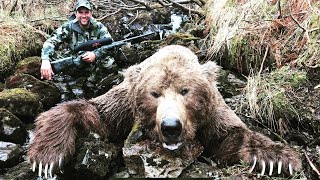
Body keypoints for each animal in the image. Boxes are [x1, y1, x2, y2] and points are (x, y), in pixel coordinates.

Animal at [27, 44, 300, 179]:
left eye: (185, 91)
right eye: (154, 93)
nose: (170, 127)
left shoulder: (212, 112)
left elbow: (230, 136)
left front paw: (276, 159)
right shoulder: (125, 106)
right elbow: (97, 115)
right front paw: (47, 158)